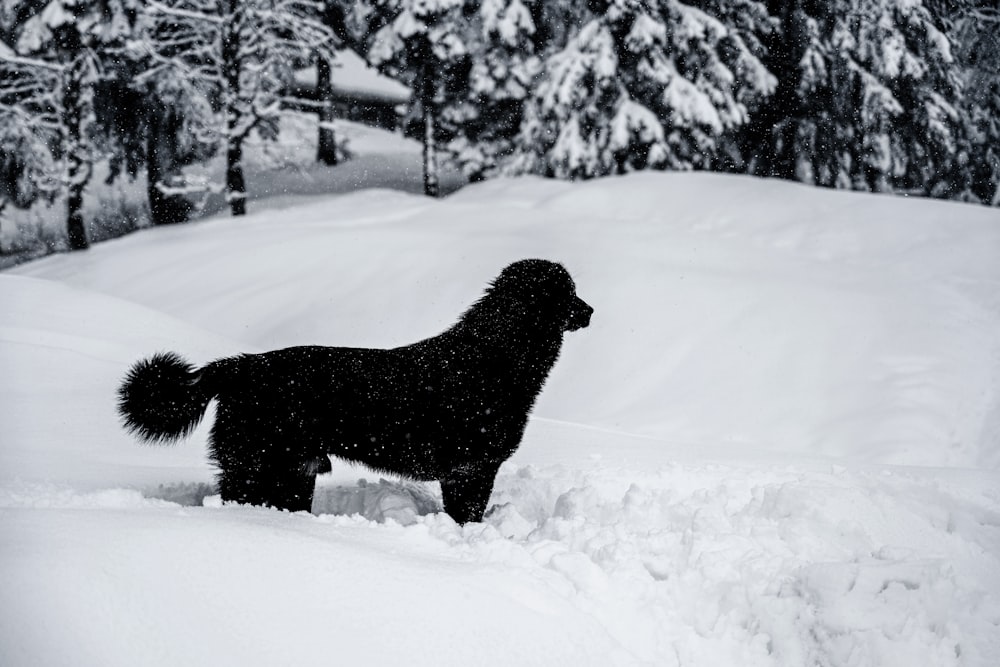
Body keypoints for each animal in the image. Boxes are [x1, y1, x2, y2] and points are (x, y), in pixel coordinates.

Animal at [121, 258, 596, 524]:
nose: (591, 311)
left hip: (294, 473)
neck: (495, 355)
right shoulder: (470, 470)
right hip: (257, 466)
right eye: (567, 293)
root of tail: (238, 365)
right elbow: (468, 519)